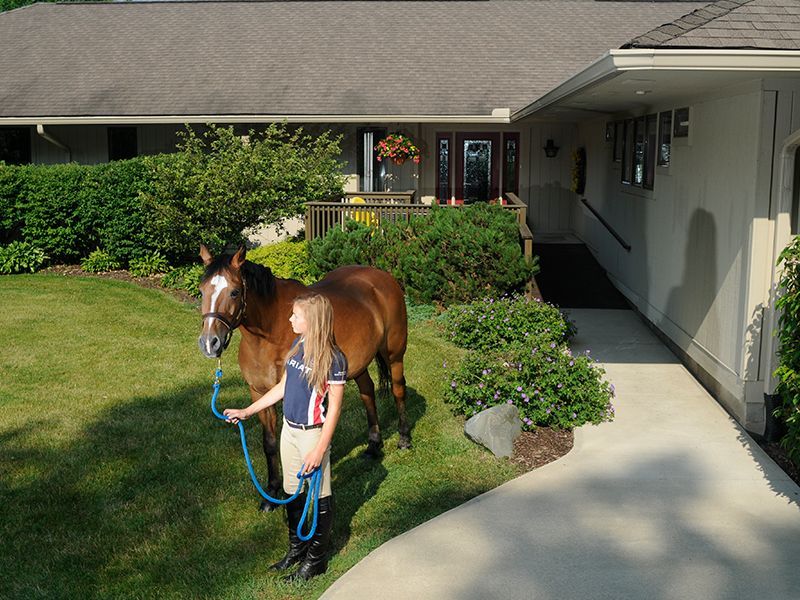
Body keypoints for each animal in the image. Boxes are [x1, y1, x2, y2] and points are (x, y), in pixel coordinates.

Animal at [197, 245, 411, 509]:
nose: (209, 343)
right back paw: (373, 445)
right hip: (359, 364)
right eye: (201, 290)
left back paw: (404, 439)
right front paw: (271, 493)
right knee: (367, 392)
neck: (271, 334)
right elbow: (269, 443)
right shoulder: (259, 392)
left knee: (398, 390)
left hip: (394, 354)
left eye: (235, 292)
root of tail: (383, 277)